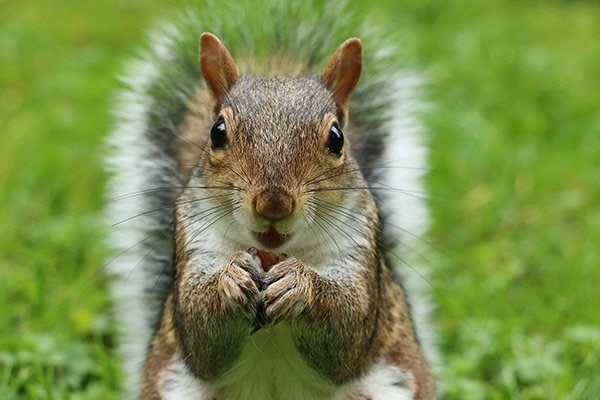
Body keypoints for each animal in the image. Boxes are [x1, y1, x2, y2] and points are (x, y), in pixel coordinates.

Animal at [106, 0, 436, 400]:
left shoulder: (358, 252)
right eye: (217, 132)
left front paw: (299, 284)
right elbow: (201, 336)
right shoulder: (194, 242)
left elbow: (348, 330)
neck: (276, 253)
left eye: (337, 138)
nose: (273, 204)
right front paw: (231, 277)